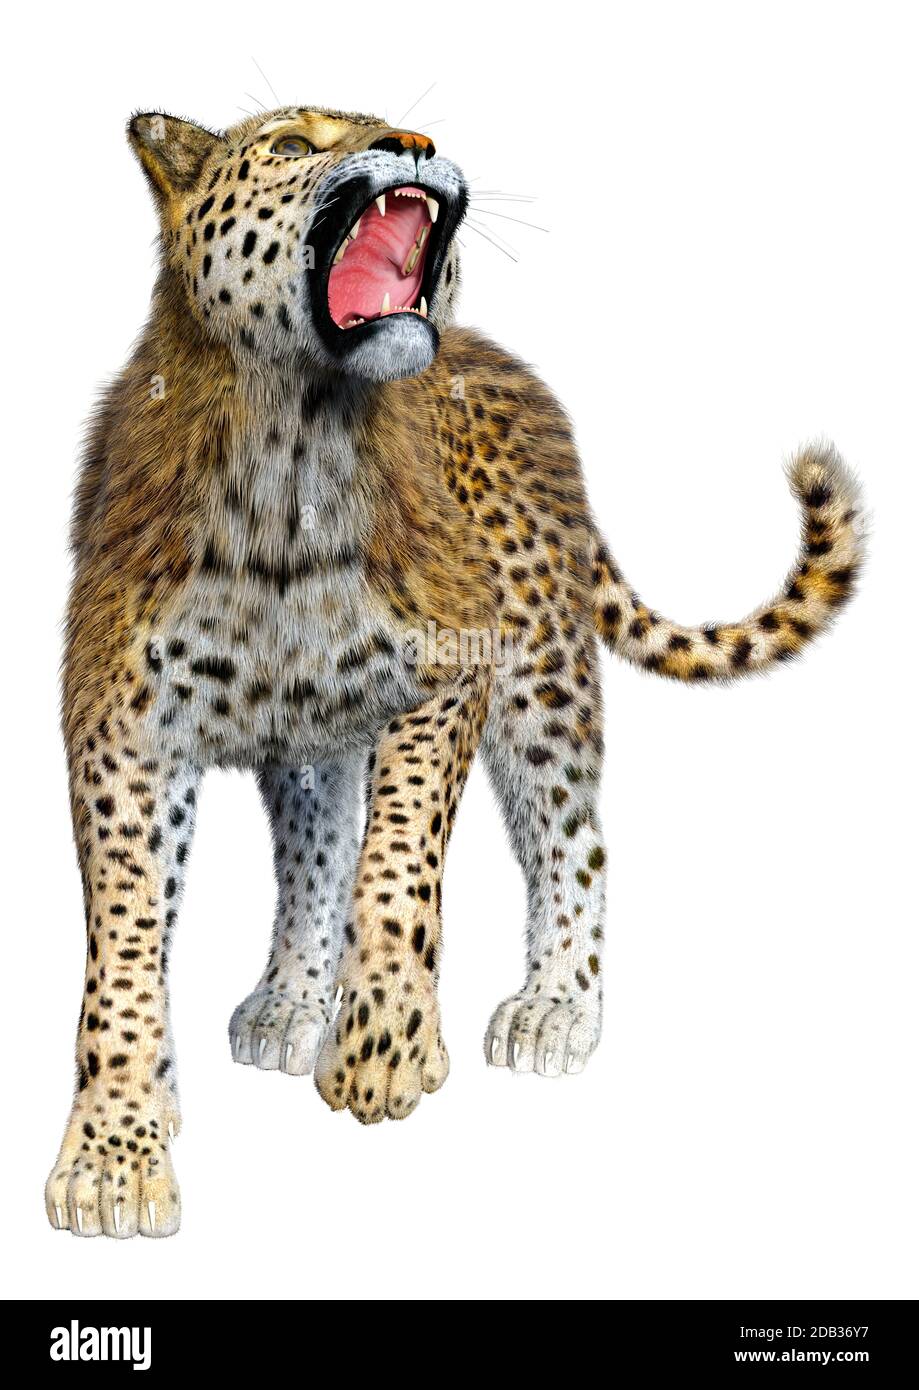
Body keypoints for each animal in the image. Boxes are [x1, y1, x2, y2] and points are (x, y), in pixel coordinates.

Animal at [45, 104, 864, 1237]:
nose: (417, 142)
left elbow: (399, 870)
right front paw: (116, 1154)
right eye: (290, 141)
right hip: (315, 736)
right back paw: (293, 1001)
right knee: (316, 851)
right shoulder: (121, 729)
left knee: (573, 840)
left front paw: (384, 1045)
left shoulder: (451, 671)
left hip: (542, 676)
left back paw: (554, 1007)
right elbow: (126, 949)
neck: (293, 456)